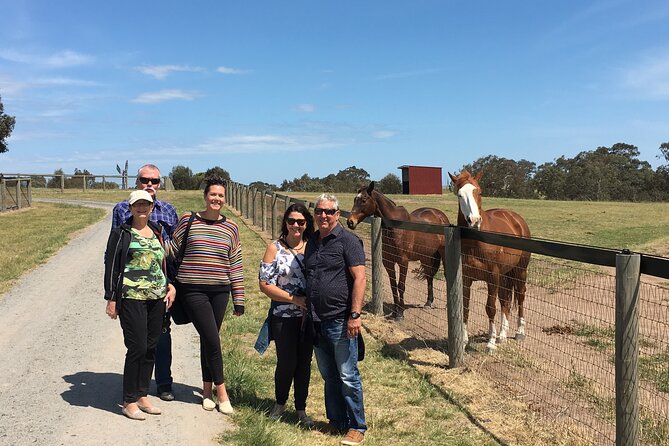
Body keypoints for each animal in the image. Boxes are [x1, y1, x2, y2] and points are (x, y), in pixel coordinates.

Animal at [348, 181, 452, 320]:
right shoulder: (388, 262)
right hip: (425, 256)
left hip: (443, 253)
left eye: (364, 200)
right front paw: (395, 311)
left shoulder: (403, 262)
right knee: (429, 276)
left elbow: (401, 286)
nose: (350, 222)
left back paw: (446, 306)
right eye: (355, 199)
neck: (395, 228)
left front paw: (400, 314)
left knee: (445, 275)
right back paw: (428, 302)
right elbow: (393, 286)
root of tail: (440, 215)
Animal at [448, 169, 532, 350]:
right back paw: (502, 335)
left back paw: (519, 332)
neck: (476, 241)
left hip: (520, 271)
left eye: (479, 192)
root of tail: (516, 218)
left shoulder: (492, 277)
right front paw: (464, 340)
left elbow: (490, 308)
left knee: (520, 296)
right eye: (459, 194)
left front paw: (491, 342)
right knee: (505, 301)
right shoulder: (466, 278)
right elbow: (465, 307)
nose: (474, 221)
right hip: (504, 275)